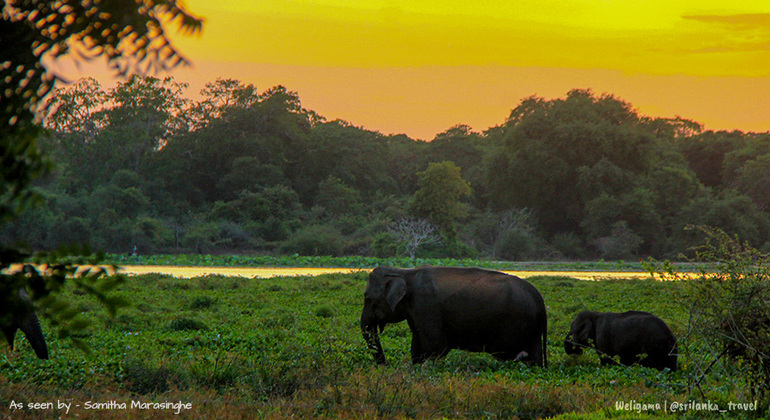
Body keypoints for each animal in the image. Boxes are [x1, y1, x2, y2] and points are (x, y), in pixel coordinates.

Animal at [360, 268, 544, 366]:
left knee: (508, 355)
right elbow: (417, 345)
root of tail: (539, 299)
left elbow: (437, 346)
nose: (386, 364)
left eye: (367, 299)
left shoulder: (426, 306)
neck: (404, 273)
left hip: (517, 323)